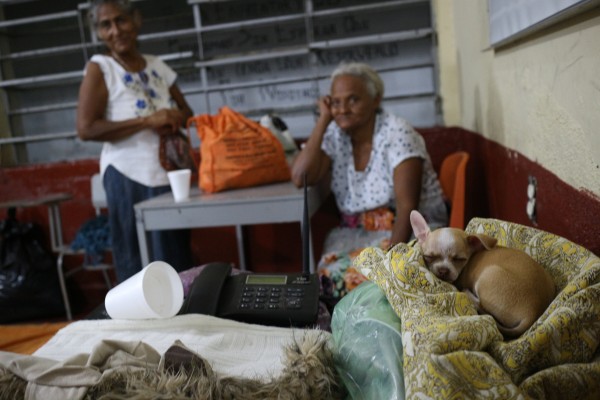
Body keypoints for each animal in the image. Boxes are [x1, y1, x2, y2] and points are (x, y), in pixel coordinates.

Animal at [410, 209, 556, 338]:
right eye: (429, 257)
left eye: (459, 259)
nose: (443, 270)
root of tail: (532, 312)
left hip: (488, 275)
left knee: (480, 305)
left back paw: (467, 293)